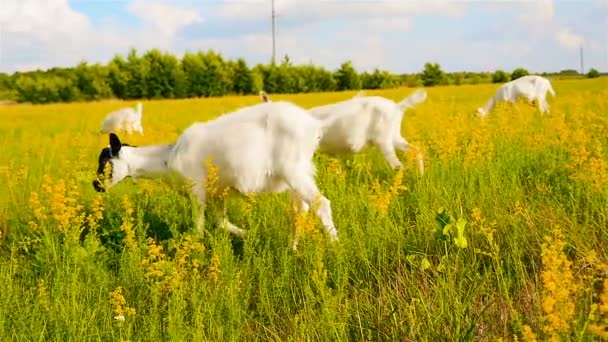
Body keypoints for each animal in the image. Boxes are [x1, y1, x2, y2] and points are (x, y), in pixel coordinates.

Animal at [91, 101, 338, 248]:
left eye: (105, 162)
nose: (95, 185)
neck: (168, 156)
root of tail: (314, 126)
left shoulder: (197, 192)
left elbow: (199, 227)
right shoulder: (218, 194)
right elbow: (221, 222)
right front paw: (249, 235)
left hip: (293, 170)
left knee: (321, 204)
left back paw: (335, 247)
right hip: (299, 172)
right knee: (300, 210)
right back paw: (292, 248)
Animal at [258, 89, 426, 172]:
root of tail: (397, 107)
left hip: (383, 140)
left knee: (397, 165)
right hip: (395, 136)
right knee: (415, 150)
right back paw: (420, 176)